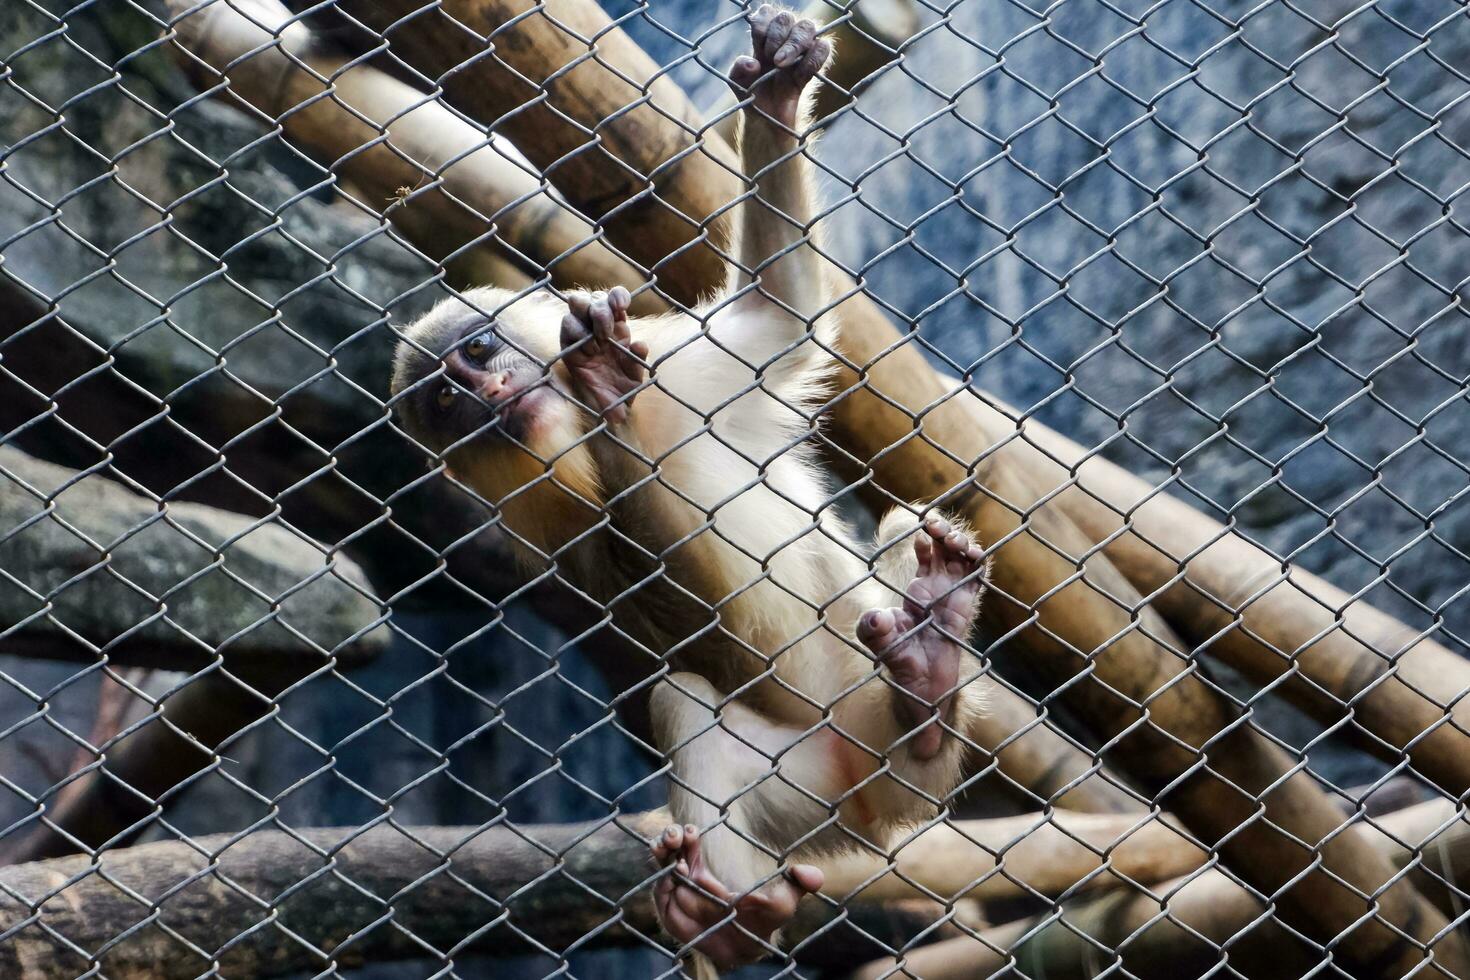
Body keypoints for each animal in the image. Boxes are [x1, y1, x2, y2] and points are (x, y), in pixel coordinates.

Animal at [391, 5, 987, 975]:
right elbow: (687, 633)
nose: (485, 396)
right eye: (443, 403)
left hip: (897, 760)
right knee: (687, 697)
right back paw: (729, 915)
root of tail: (878, 798)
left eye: (476, 353)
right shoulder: (539, 530)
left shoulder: (684, 366)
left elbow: (778, 311)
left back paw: (929, 673)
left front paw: (777, 92)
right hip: (805, 794)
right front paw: (607, 407)